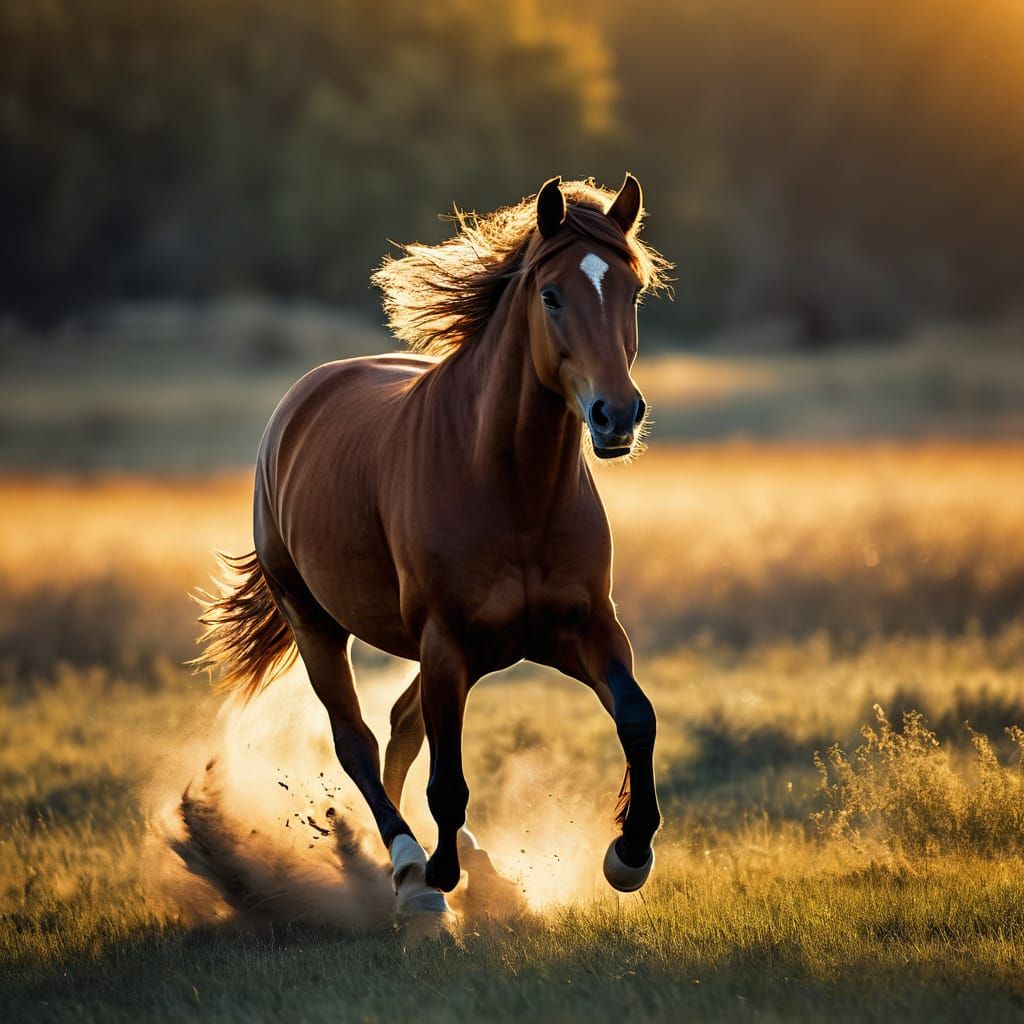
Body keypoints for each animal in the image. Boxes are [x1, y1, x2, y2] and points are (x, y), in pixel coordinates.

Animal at [197, 174, 672, 922]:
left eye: (632, 291)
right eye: (551, 295)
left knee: (400, 728)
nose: (616, 417)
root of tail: (301, 400)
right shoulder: (447, 641)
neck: (513, 490)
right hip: (316, 622)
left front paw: (629, 854)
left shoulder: (585, 628)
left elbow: (637, 717)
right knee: (359, 742)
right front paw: (435, 877)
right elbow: (446, 779)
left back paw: (469, 864)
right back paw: (408, 867)